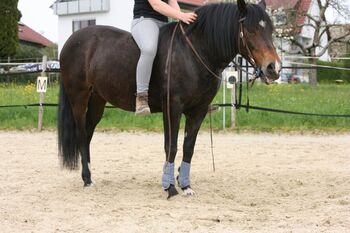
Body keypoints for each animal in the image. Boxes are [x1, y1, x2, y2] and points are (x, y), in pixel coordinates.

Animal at [58, 0, 282, 198]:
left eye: (271, 30)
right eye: (251, 30)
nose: (274, 68)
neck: (194, 52)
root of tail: (72, 40)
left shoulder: (198, 111)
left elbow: (188, 147)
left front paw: (185, 185)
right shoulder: (172, 108)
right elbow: (171, 146)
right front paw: (170, 187)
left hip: (97, 101)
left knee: (87, 135)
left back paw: (88, 177)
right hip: (79, 99)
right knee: (81, 135)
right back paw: (87, 179)